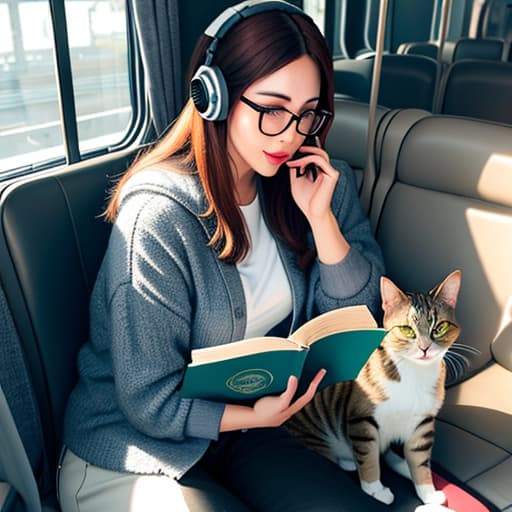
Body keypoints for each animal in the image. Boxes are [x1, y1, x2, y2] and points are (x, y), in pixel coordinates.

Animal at [286, 270, 462, 506]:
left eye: (439, 327)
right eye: (407, 330)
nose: (424, 348)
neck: (413, 373)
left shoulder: (423, 423)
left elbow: (419, 460)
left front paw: (428, 492)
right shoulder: (362, 418)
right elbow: (368, 456)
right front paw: (375, 489)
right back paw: (347, 461)